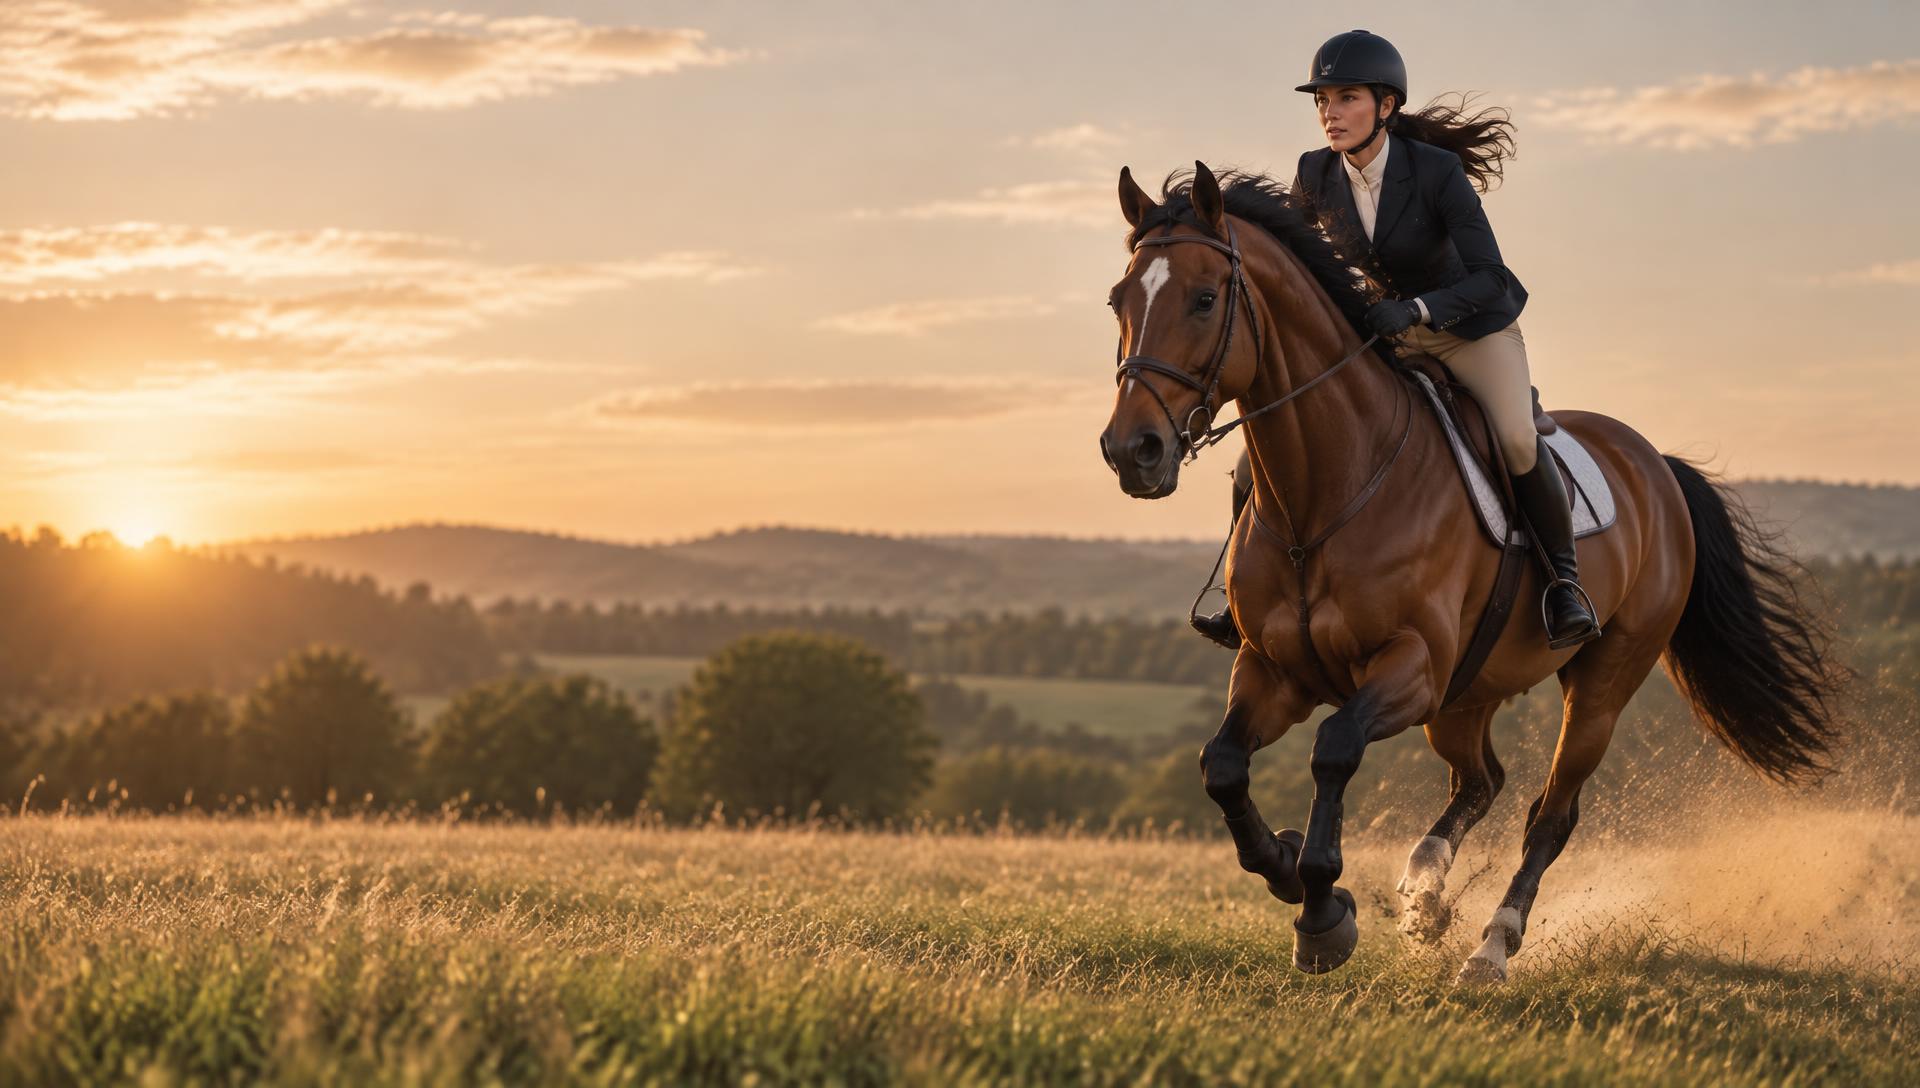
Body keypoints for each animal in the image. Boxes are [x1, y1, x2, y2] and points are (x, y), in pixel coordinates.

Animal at [1097, 161, 1846, 982]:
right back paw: (1425, 892)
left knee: (1551, 814)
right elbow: (1223, 765)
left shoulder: (1411, 668)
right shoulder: (1275, 670)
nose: (1131, 451)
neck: (1325, 491)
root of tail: (1655, 465)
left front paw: (1323, 913)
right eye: (1119, 301)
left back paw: (1492, 945)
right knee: (1481, 779)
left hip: (1600, 680)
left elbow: (1334, 748)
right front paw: (1290, 868)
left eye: (1204, 299)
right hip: (1469, 691)